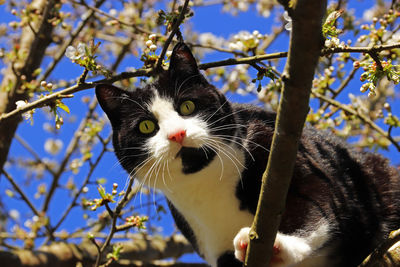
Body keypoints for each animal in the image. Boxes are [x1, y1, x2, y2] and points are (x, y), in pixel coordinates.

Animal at [96, 42, 400, 267]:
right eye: (146, 126)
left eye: (187, 106)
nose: (177, 134)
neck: (209, 187)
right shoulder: (208, 241)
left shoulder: (293, 156)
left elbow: (316, 205)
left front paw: (279, 244)